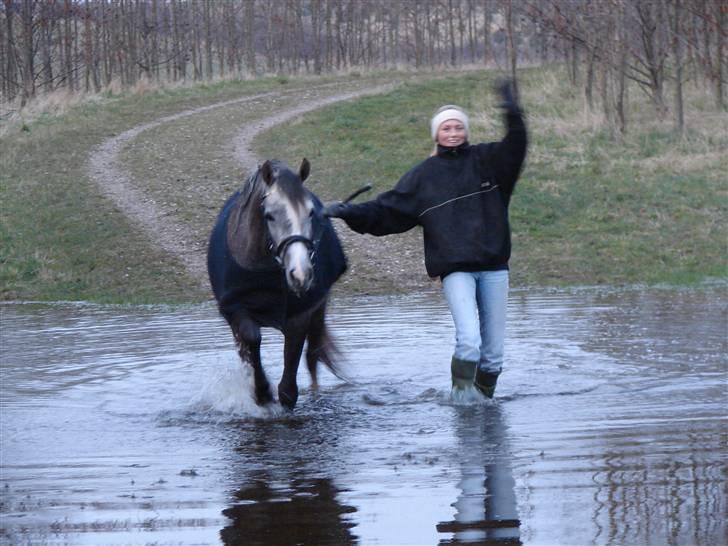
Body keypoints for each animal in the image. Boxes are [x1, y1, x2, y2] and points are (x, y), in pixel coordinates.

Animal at [208, 157, 346, 408]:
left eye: (311, 213)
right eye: (270, 215)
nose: (301, 274)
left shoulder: (299, 314)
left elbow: (289, 386)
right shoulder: (235, 310)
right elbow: (251, 340)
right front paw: (261, 391)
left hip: (318, 309)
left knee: (313, 354)